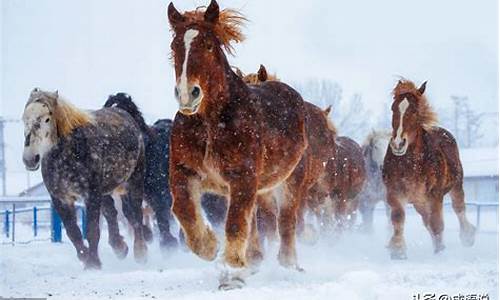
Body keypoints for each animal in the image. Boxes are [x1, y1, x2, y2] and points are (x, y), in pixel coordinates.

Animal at [22, 88, 147, 268]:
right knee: (112, 213)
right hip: (105, 190)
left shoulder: (91, 194)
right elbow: (72, 231)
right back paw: (120, 247)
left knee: (135, 214)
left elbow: (92, 229)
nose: (30, 159)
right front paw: (84, 256)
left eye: (46, 119)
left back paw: (140, 253)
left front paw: (93, 264)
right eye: (24, 119)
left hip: (134, 181)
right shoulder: (60, 198)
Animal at [168, 0, 308, 288]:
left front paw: (231, 269)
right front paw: (209, 246)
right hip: (261, 189)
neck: (210, 124)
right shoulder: (184, 171)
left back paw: (288, 265)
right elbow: (184, 209)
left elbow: (234, 222)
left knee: (286, 221)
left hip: (289, 181)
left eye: (209, 45)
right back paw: (252, 262)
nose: (188, 95)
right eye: (175, 46)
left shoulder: (242, 176)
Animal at [382, 79, 476, 260]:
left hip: (455, 186)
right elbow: (398, 218)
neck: (410, 164)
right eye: (393, 108)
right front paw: (398, 250)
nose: (398, 144)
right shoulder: (394, 193)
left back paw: (468, 236)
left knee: (458, 208)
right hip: (419, 202)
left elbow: (437, 223)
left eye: (414, 110)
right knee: (427, 220)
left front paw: (440, 253)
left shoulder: (435, 196)